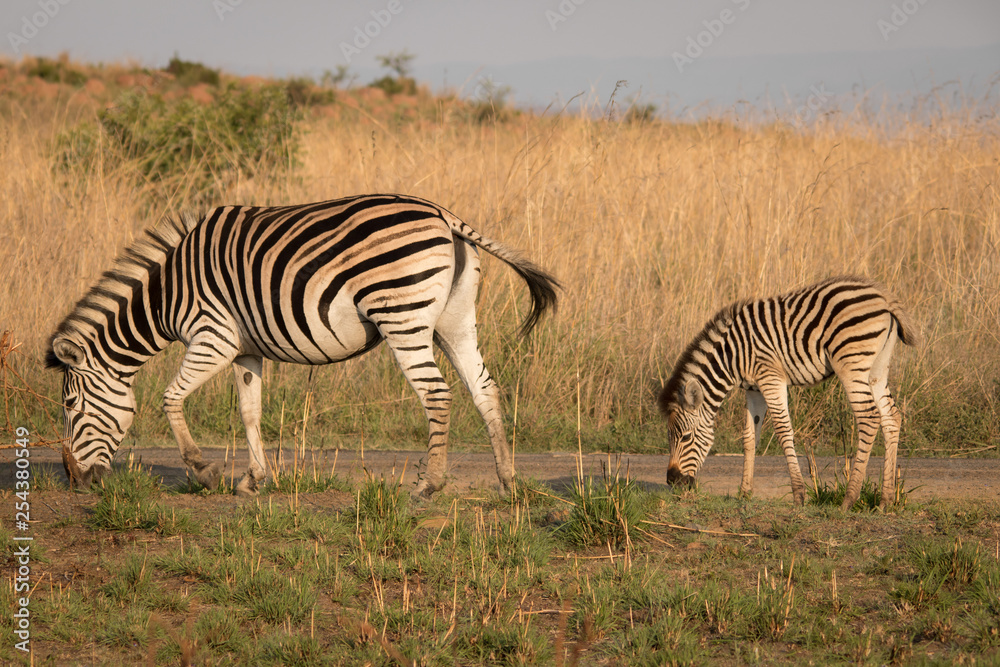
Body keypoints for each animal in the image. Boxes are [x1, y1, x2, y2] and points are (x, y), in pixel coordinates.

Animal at [46, 194, 559, 498]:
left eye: (70, 405)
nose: (75, 481)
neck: (168, 294)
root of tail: (444, 215)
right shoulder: (245, 349)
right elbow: (249, 412)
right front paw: (253, 480)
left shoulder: (214, 337)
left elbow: (171, 398)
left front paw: (203, 469)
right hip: (454, 320)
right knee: (484, 389)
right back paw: (507, 480)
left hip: (403, 317)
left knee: (437, 393)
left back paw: (428, 485)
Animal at [658, 276, 919, 510]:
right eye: (669, 437)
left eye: (685, 438)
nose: (672, 481)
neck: (731, 355)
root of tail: (883, 297)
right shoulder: (753, 389)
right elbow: (749, 437)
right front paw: (744, 493)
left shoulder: (770, 377)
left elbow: (783, 431)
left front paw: (798, 495)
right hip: (877, 368)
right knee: (891, 417)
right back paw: (886, 500)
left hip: (851, 364)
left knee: (869, 417)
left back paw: (849, 499)